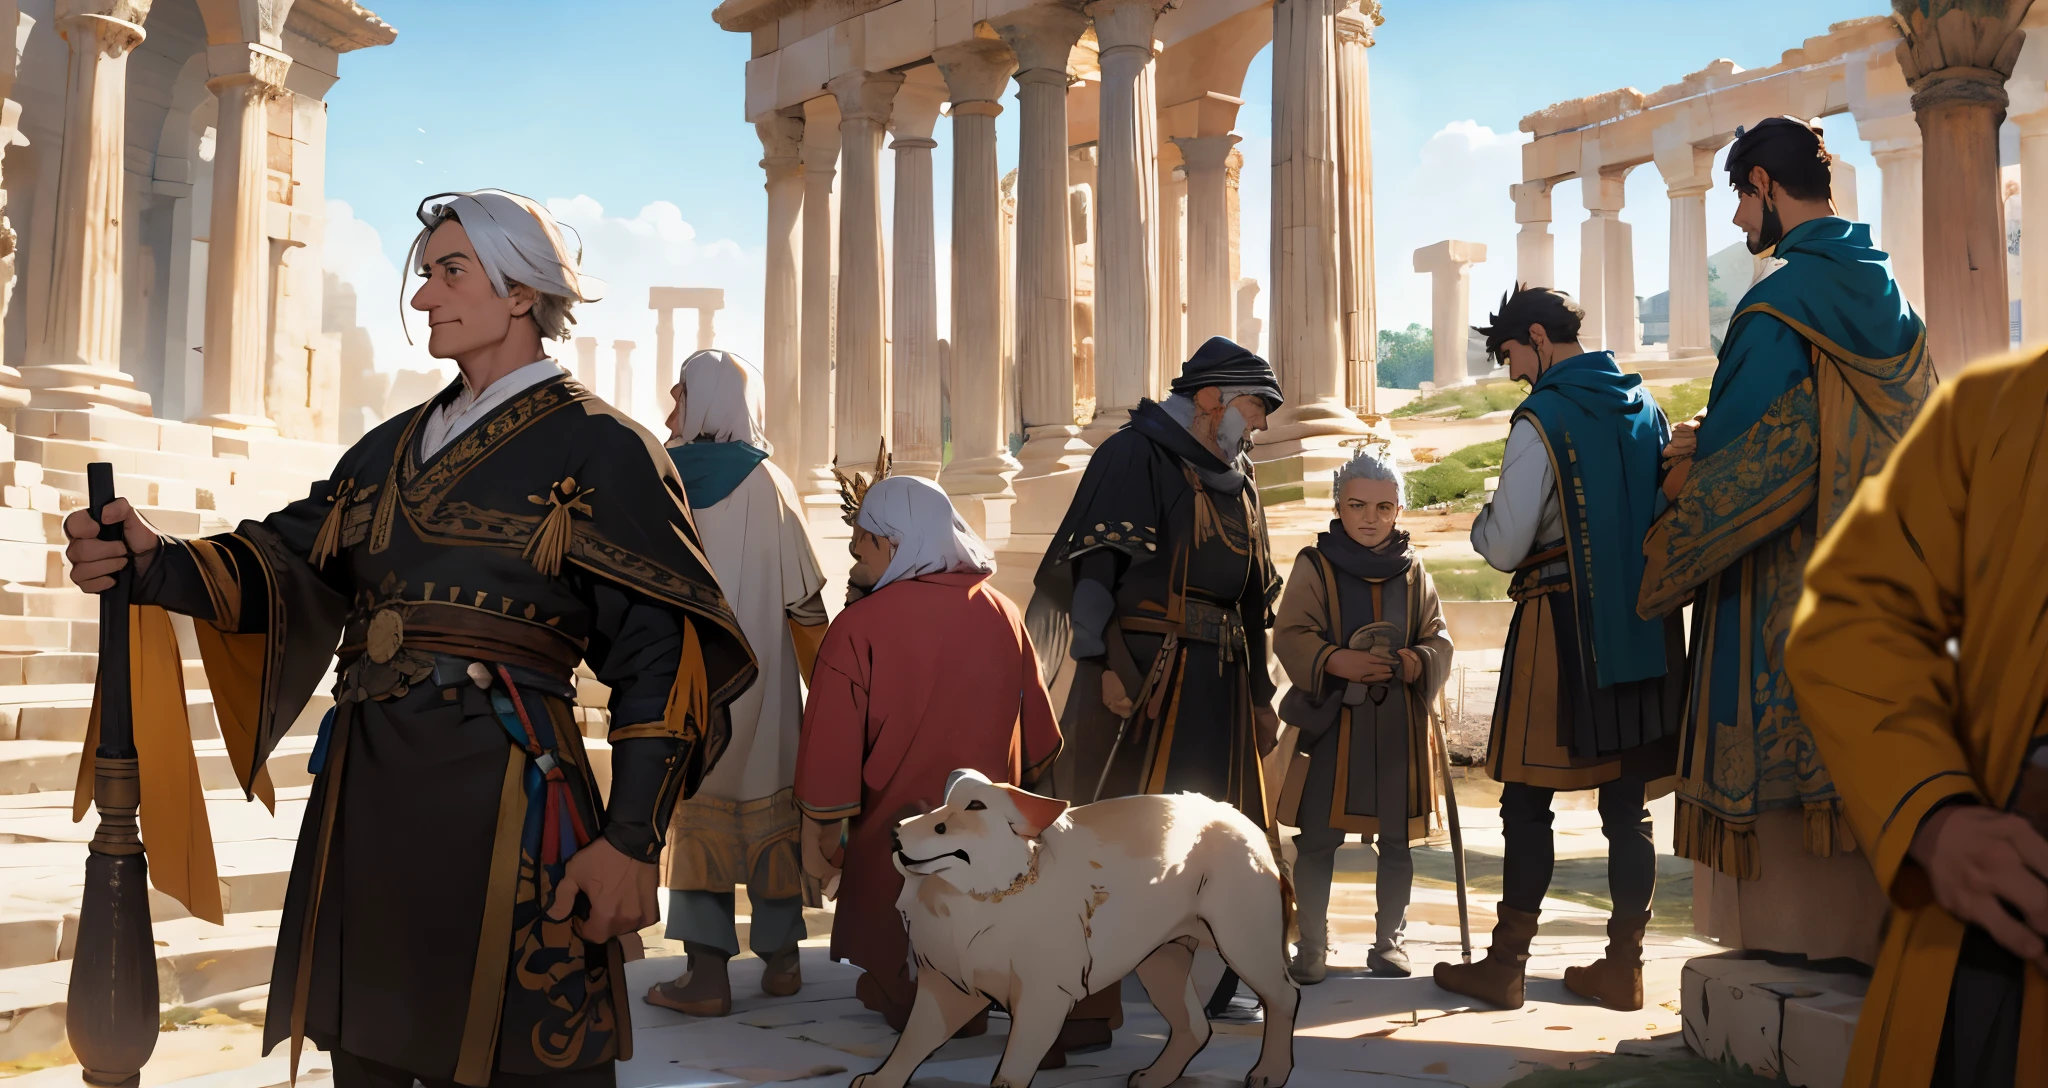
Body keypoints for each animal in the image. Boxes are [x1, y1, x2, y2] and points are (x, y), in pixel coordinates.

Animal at [847, 766, 1294, 1088]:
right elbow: (910, 1044)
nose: (894, 832)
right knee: (1195, 1027)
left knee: (1284, 997)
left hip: (1242, 943)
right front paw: (878, 1082)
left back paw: (1270, 1073)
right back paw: (1156, 1077)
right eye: (936, 810)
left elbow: (1011, 1069)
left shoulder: (1044, 997)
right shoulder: (948, 986)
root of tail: (1240, 817)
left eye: (950, 821)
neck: (987, 899)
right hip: (1160, 959)